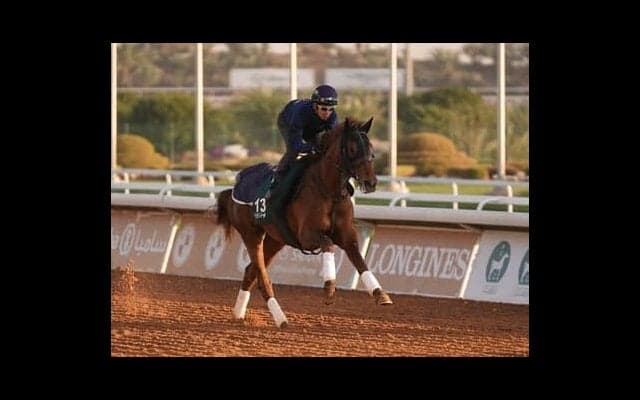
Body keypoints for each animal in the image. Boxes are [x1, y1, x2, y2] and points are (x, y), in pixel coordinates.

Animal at [215, 117, 393, 328]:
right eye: (351, 148)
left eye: (371, 148)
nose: (371, 182)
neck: (328, 191)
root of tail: (235, 184)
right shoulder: (306, 237)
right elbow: (328, 243)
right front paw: (329, 287)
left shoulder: (347, 236)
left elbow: (359, 259)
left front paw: (380, 294)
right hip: (251, 234)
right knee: (261, 277)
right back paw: (281, 319)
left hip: (276, 239)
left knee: (251, 270)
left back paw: (239, 314)